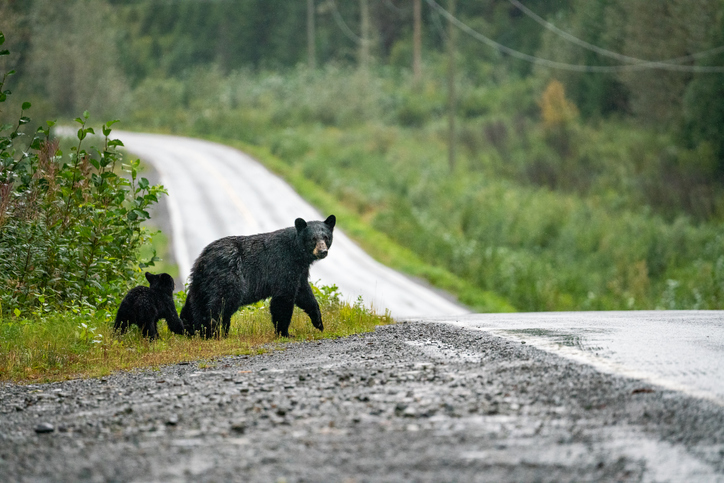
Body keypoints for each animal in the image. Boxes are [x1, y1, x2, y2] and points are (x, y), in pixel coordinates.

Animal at [184, 216, 336, 340]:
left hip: (200, 283)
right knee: (221, 303)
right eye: (313, 239)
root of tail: (204, 258)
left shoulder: (300, 271)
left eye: (326, 237)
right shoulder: (283, 266)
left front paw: (319, 322)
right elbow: (283, 298)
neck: (297, 253)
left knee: (197, 305)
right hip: (228, 277)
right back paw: (214, 332)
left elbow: (304, 294)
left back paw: (199, 331)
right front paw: (285, 333)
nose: (323, 251)